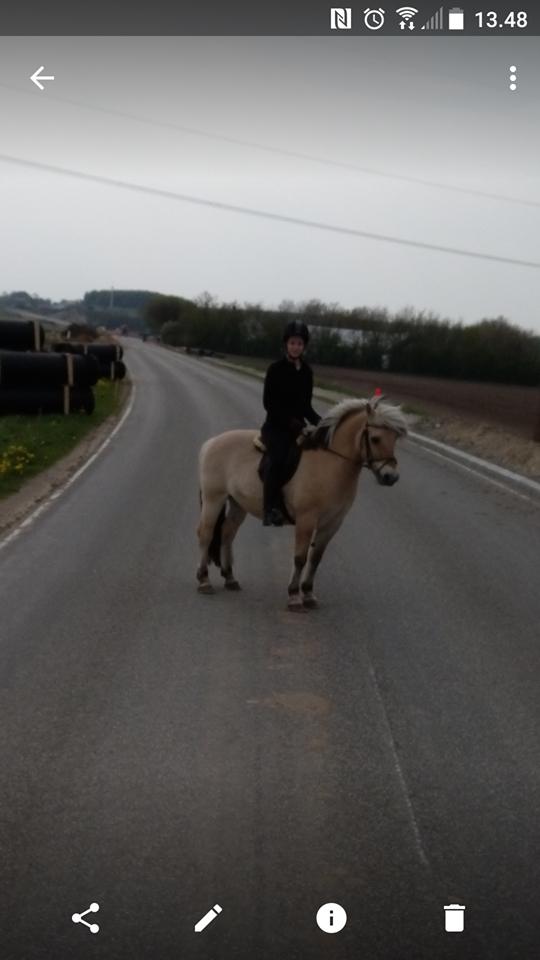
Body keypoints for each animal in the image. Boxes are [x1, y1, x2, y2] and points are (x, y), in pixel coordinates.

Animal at [196, 396, 408, 608]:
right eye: (375, 438)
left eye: (394, 439)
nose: (391, 477)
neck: (330, 463)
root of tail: (211, 443)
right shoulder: (306, 519)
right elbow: (300, 558)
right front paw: (294, 596)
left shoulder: (332, 523)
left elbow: (315, 558)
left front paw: (308, 593)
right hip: (214, 498)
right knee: (206, 534)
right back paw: (204, 581)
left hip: (238, 504)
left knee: (227, 533)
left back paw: (230, 578)